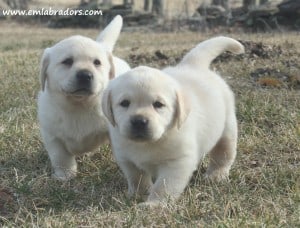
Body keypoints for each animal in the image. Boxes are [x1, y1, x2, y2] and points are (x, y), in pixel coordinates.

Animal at [37, 15, 130, 181]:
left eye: (97, 62)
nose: (85, 75)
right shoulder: (52, 135)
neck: (79, 105)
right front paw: (65, 175)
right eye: (67, 61)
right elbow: (60, 157)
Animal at [102, 36, 245, 206]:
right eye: (124, 103)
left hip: (227, 128)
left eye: (158, 104)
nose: (139, 121)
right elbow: (137, 178)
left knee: (223, 154)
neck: (149, 143)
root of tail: (193, 65)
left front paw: (155, 204)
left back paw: (217, 175)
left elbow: (164, 186)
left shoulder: (177, 162)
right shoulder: (127, 159)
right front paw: (138, 194)